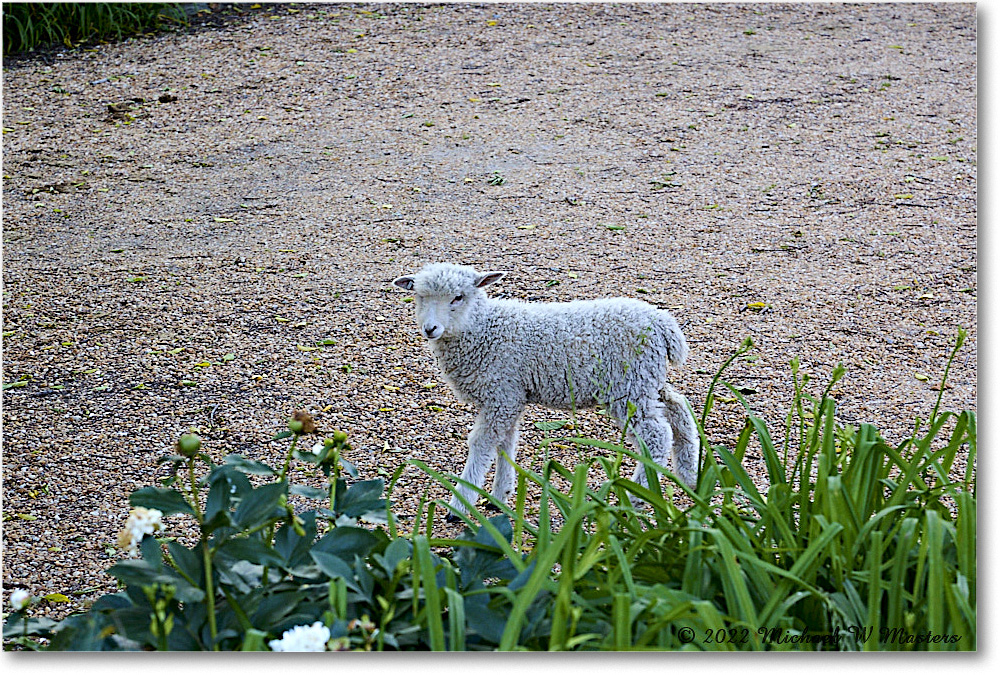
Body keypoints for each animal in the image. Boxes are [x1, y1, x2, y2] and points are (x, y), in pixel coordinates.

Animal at [390, 264, 696, 516]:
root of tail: (664, 324)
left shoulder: (501, 393)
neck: (485, 329)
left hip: (628, 385)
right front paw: (500, 495)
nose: (430, 328)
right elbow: (505, 443)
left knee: (656, 435)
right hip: (647, 379)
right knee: (679, 409)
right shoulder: (509, 396)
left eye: (458, 297)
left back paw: (634, 497)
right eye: (419, 297)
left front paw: (461, 503)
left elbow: (482, 444)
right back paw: (690, 476)